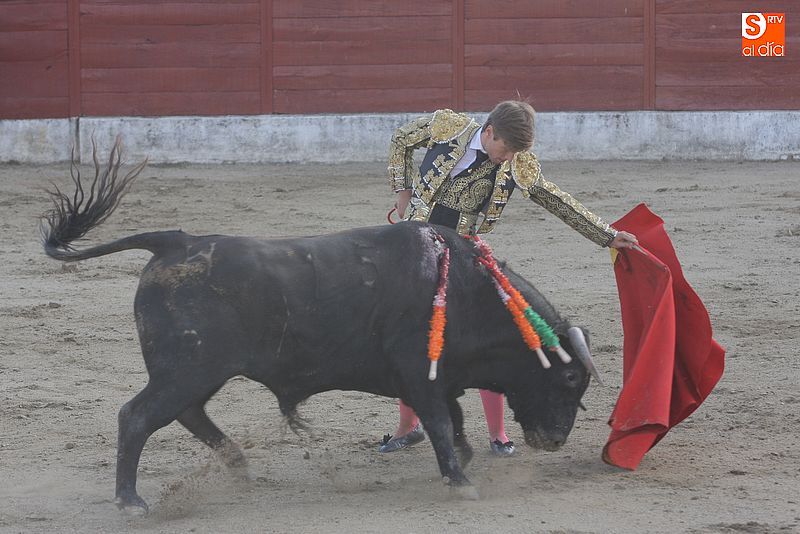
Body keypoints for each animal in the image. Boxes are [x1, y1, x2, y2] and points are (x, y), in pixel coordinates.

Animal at [40, 141, 601, 514]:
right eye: (571, 377)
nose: (555, 440)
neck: (469, 287)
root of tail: (175, 242)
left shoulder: (436, 377)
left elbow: (454, 418)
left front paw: (460, 461)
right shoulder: (419, 373)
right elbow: (442, 422)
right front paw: (461, 480)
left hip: (198, 372)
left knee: (188, 414)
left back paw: (239, 467)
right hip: (186, 369)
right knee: (138, 417)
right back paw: (131, 501)